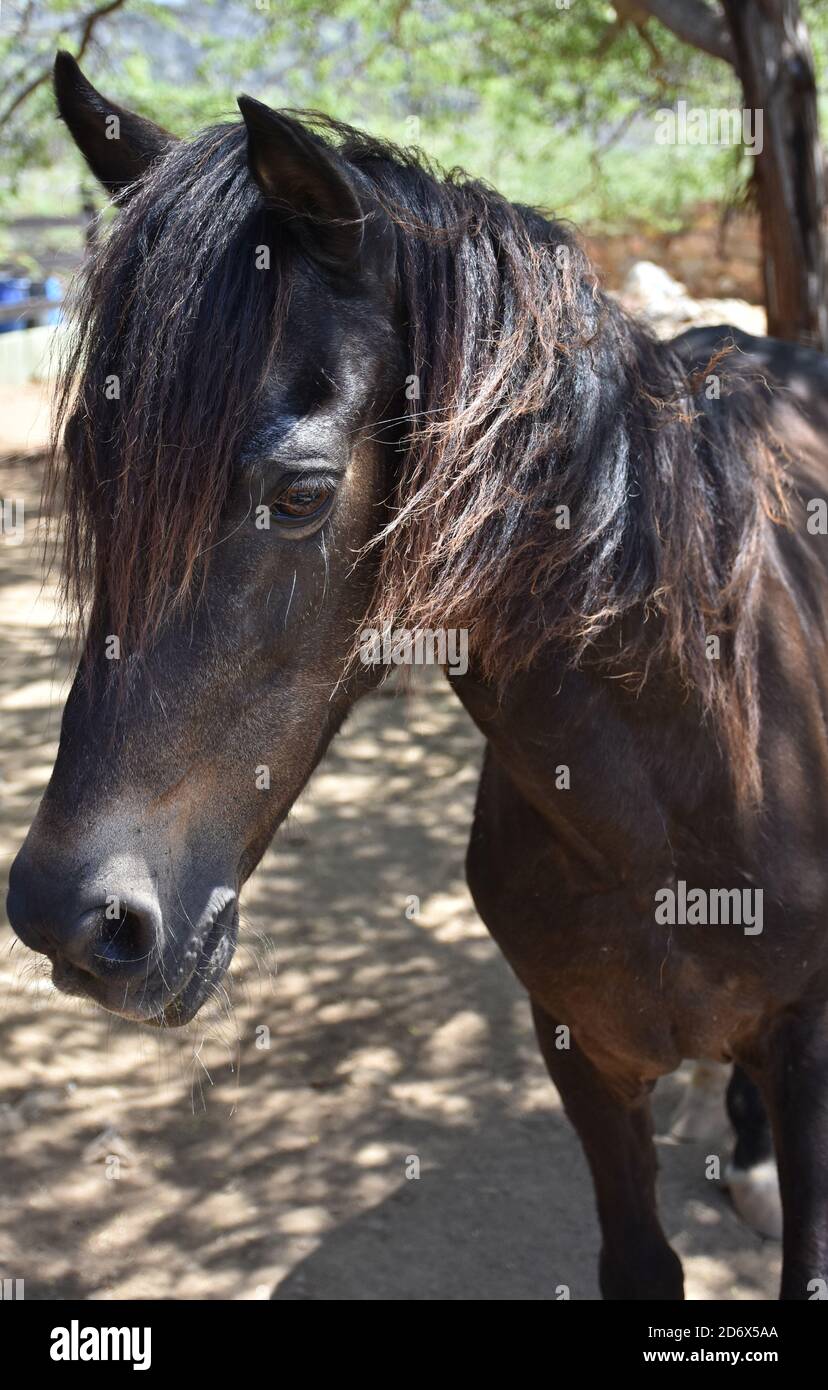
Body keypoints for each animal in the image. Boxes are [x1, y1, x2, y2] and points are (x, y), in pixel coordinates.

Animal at [7, 51, 828, 1301]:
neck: (690, 782)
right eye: (92, 476)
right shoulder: (579, 1050)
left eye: (300, 493)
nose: (66, 917)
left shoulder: (813, 1044)